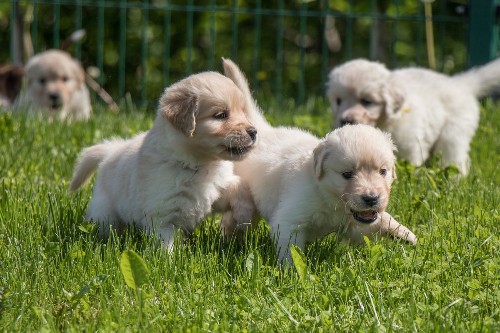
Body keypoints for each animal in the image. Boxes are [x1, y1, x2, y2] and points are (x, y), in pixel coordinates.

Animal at [69, 72, 258, 249]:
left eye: (243, 111)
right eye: (221, 115)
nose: (254, 132)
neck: (198, 165)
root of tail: (111, 150)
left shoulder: (215, 192)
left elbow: (239, 185)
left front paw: (243, 218)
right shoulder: (162, 216)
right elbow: (165, 246)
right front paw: (170, 260)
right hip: (105, 211)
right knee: (107, 226)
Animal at [222, 59, 414, 262]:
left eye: (383, 171)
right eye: (347, 174)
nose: (371, 198)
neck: (328, 196)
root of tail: (261, 129)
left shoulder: (355, 222)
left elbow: (379, 219)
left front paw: (404, 233)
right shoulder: (289, 221)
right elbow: (290, 252)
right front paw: (291, 270)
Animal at [326, 58, 500, 175]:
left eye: (366, 101)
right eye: (338, 101)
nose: (345, 120)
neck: (385, 122)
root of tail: (459, 84)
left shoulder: (409, 145)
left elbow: (410, 165)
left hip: (453, 134)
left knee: (455, 159)